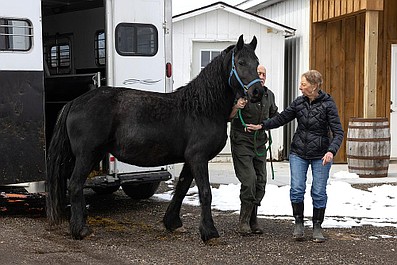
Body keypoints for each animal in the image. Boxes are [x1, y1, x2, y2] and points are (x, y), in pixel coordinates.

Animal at [45, 34, 262, 241]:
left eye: (257, 62)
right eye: (241, 62)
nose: (258, 92)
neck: (201, 108)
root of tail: (74, 102)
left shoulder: (190, 160)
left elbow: (181, 188)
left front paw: (172, 222)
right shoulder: (198, 158)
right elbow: (205, 193)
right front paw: (209, 232)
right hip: (87, 155)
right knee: (75, 185)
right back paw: (80, 230)